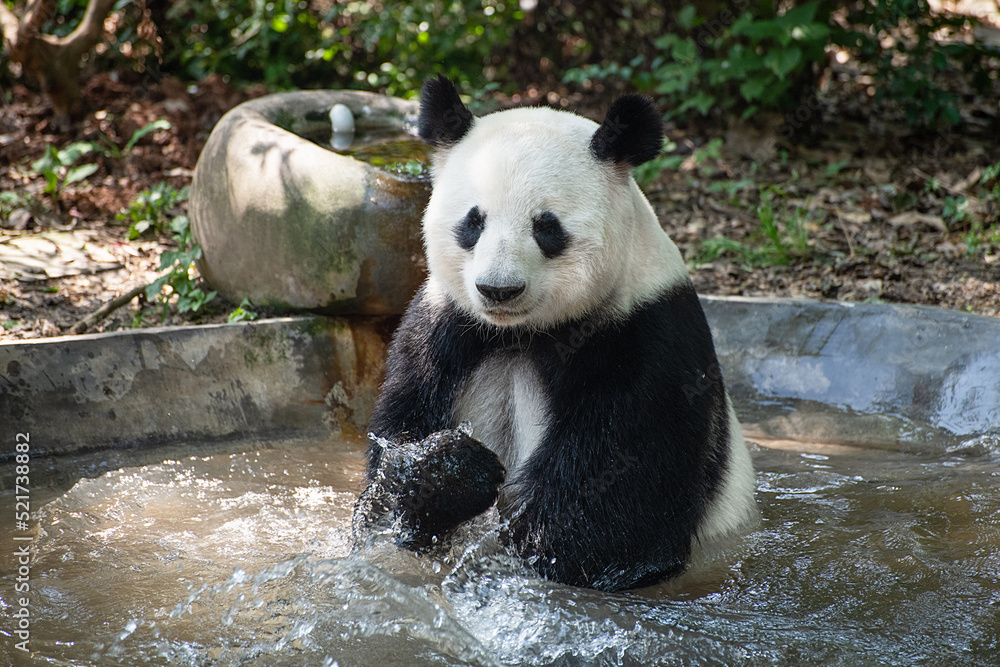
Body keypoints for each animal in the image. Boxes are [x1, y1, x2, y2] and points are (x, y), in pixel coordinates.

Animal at [354, 75, 756, 592]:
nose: (498, 289)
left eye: (546, 227)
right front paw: (451, 471)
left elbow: (607, 516)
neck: (519, 333)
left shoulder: (647, 339)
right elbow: (387, 472)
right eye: (473, 221)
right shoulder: (439, 329)